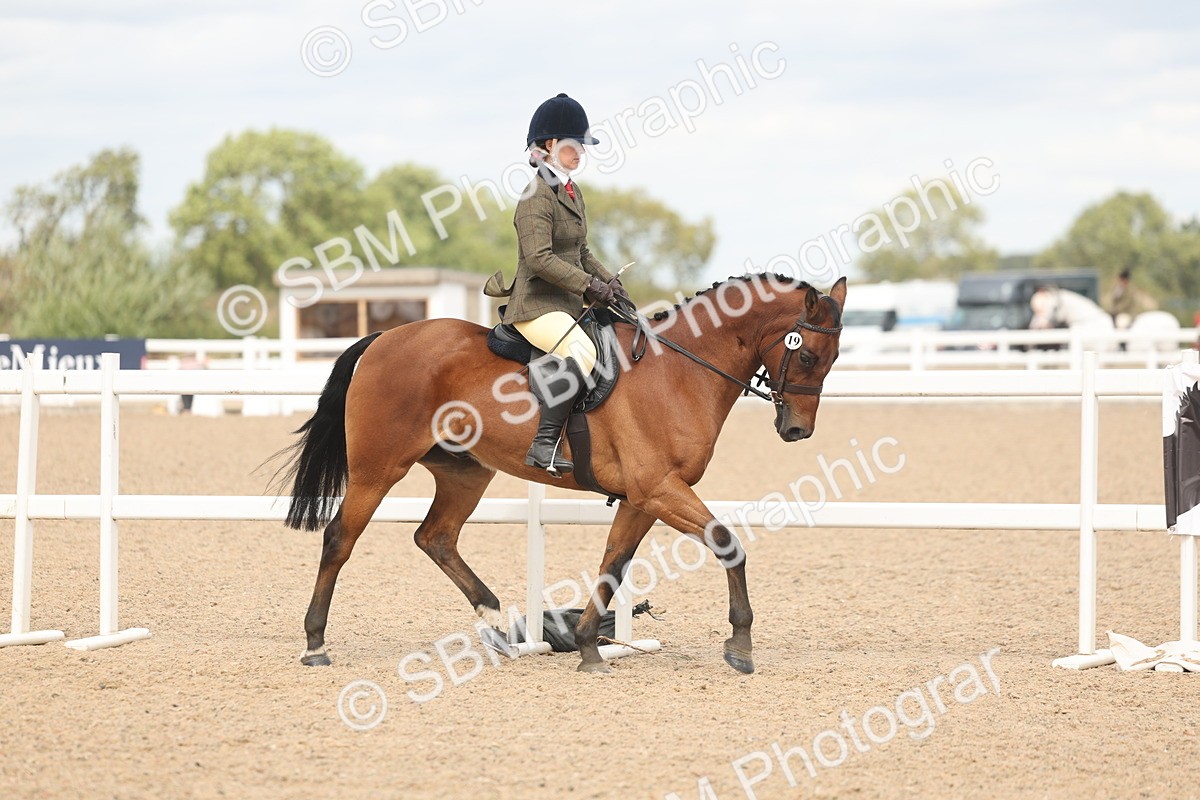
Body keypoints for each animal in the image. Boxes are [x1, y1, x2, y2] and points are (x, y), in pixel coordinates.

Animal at [280, 273, 847, 673]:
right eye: (809, 356)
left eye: (835, 357)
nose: (797, 430)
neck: (681, 371)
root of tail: (382, 339)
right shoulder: (660, 489)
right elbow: (728, 543)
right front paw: (741, 646)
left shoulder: (643, 498)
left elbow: (613, 563)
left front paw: (588, 646)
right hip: (378, 468)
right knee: (340, 538)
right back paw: (315, 643)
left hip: (466, 473)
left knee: (435, 536)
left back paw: (496, 623)